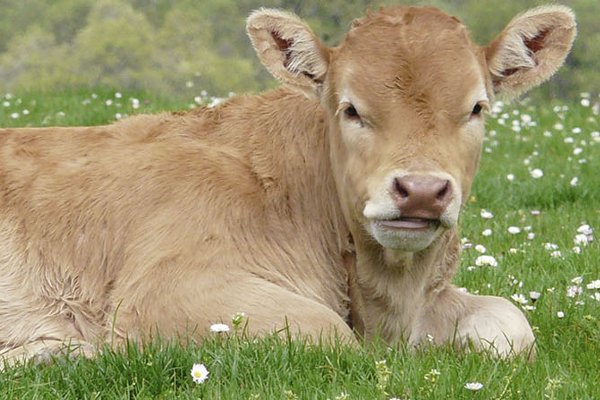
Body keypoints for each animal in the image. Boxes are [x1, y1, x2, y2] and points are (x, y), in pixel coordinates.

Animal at [0, 4, 576, 368]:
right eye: (350, 108)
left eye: (477, 107)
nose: (420, 190)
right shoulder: (166, 286)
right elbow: (329, 335)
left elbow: (510, 323)